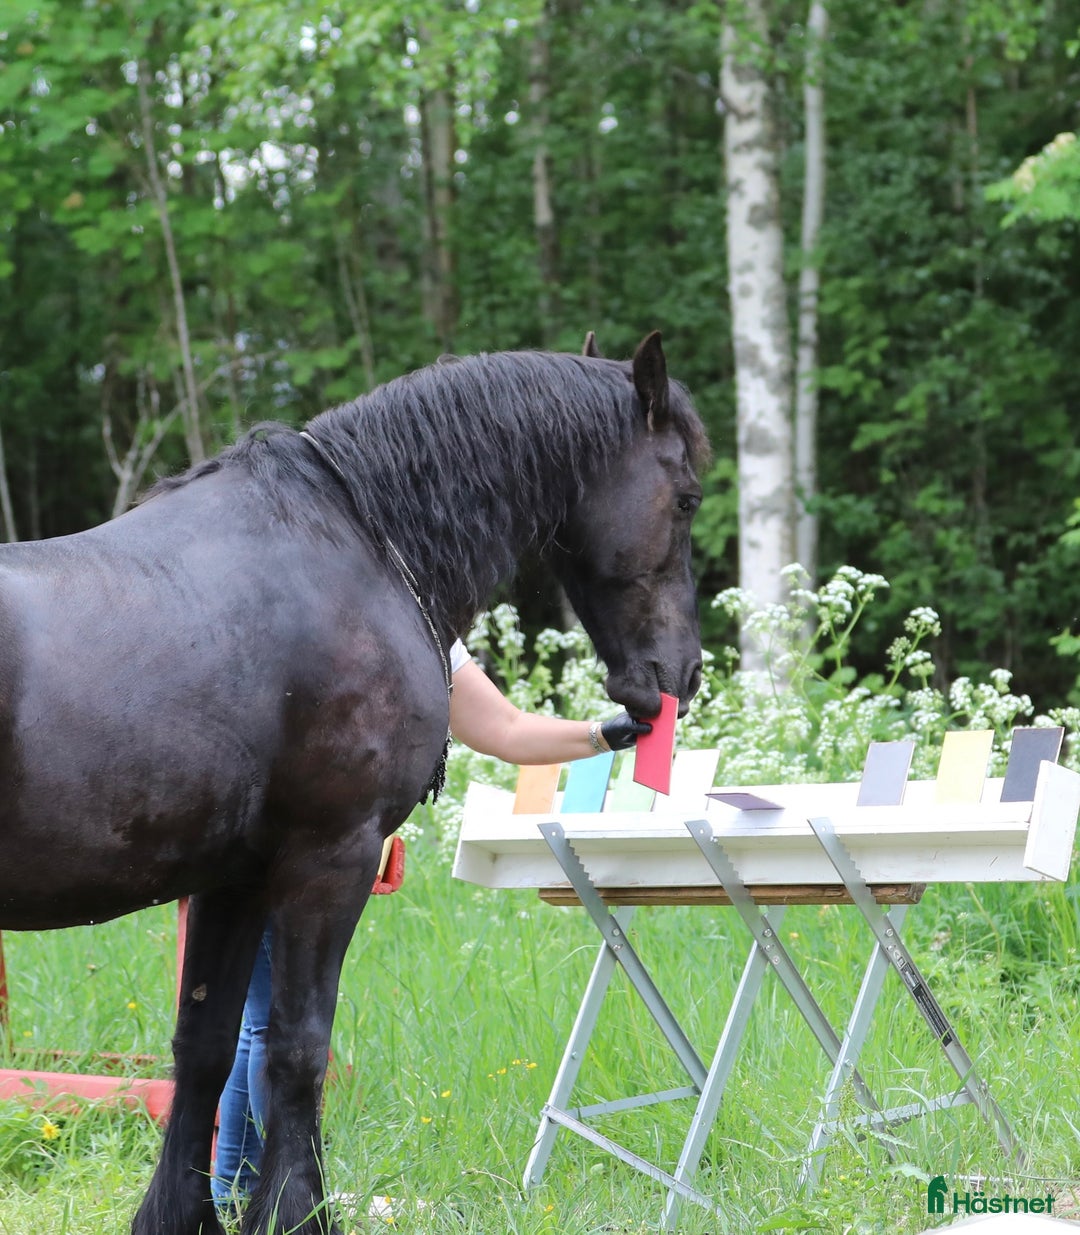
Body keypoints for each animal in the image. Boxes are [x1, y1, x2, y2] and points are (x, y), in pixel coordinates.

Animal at [0, 330, 708, 1235]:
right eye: (684, 497)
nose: (678, 674)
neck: (360, 545)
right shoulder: (329, 856)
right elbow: (299, 1046)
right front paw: (295, 1210)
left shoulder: (235, 878)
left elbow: (206, 1045)